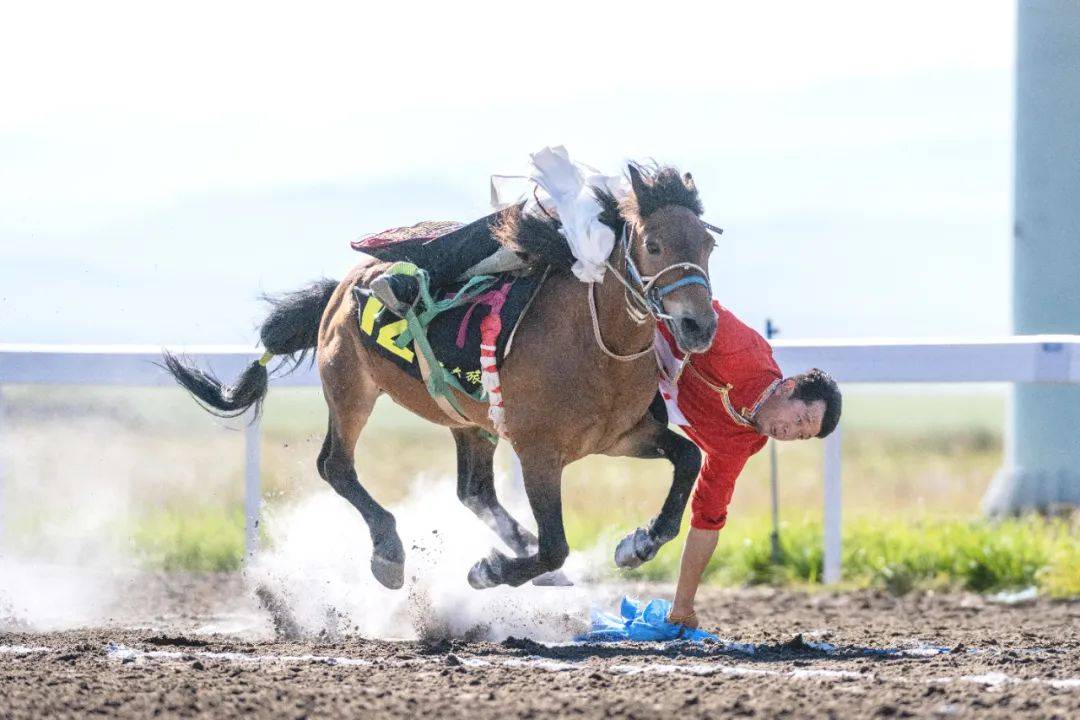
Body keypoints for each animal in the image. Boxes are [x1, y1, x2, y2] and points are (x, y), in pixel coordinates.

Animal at [162, 165, 717, 591]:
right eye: (653, 244)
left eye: (708, 244)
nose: (699, 325)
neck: (599, 348)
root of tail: (346, 283)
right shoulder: (538, 452)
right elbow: (556, 545)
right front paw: (490, 571)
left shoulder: (621, 436)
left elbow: (689, 458)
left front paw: (639, 543)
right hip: (350, 387)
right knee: (335, 466)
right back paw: (389, 552)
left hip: (469, 420)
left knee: (473, 491)